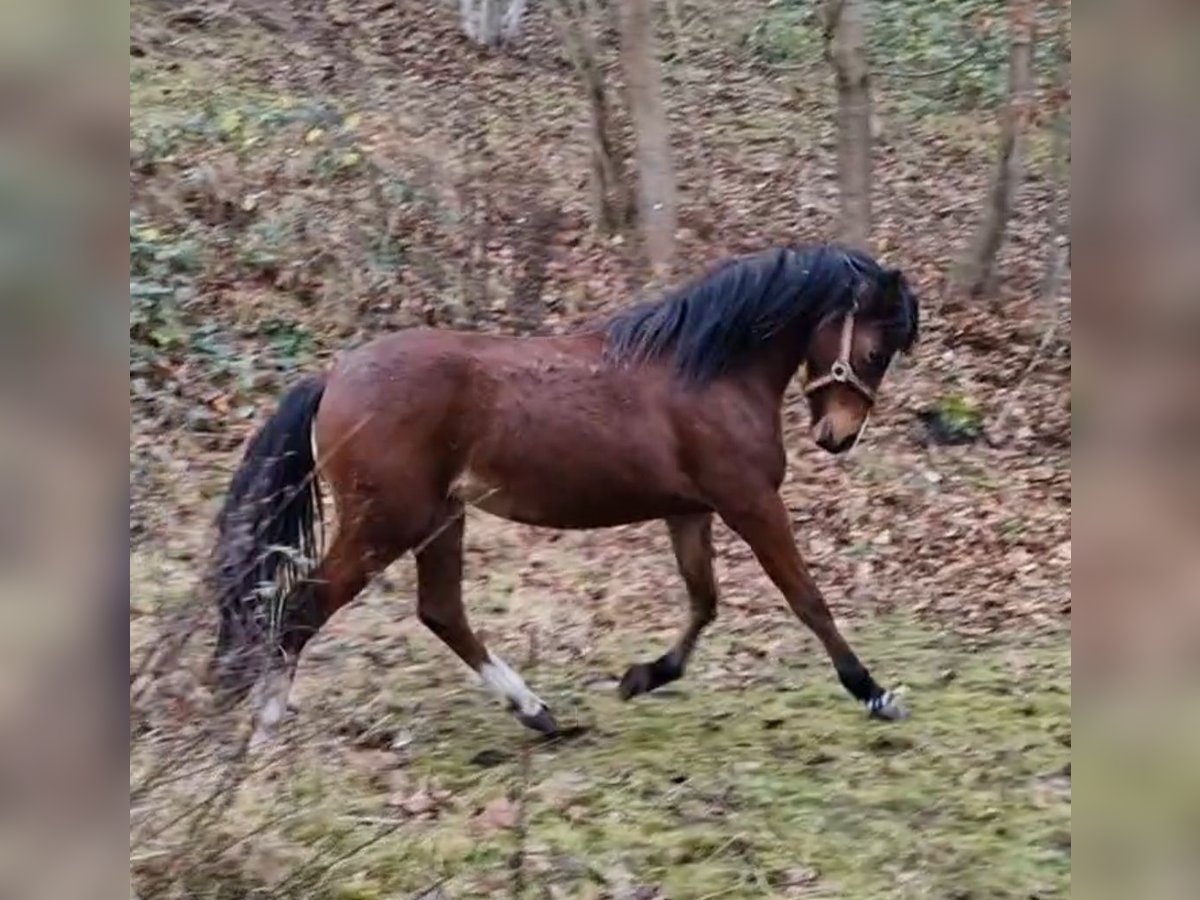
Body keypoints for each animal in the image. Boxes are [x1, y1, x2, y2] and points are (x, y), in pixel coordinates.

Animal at [206, 244, 916, 739]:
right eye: (876, 350)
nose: (838, 437)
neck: (708, 371)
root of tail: (333, 376)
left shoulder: (691, 512)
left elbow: (703, 603)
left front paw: (642, 677)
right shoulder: (751, 504)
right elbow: (807, 600)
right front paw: (873, 692)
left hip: (439, 518)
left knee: (441, 612)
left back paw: (536, 712)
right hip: (386, 524)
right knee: (302, 607)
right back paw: (267, 727)